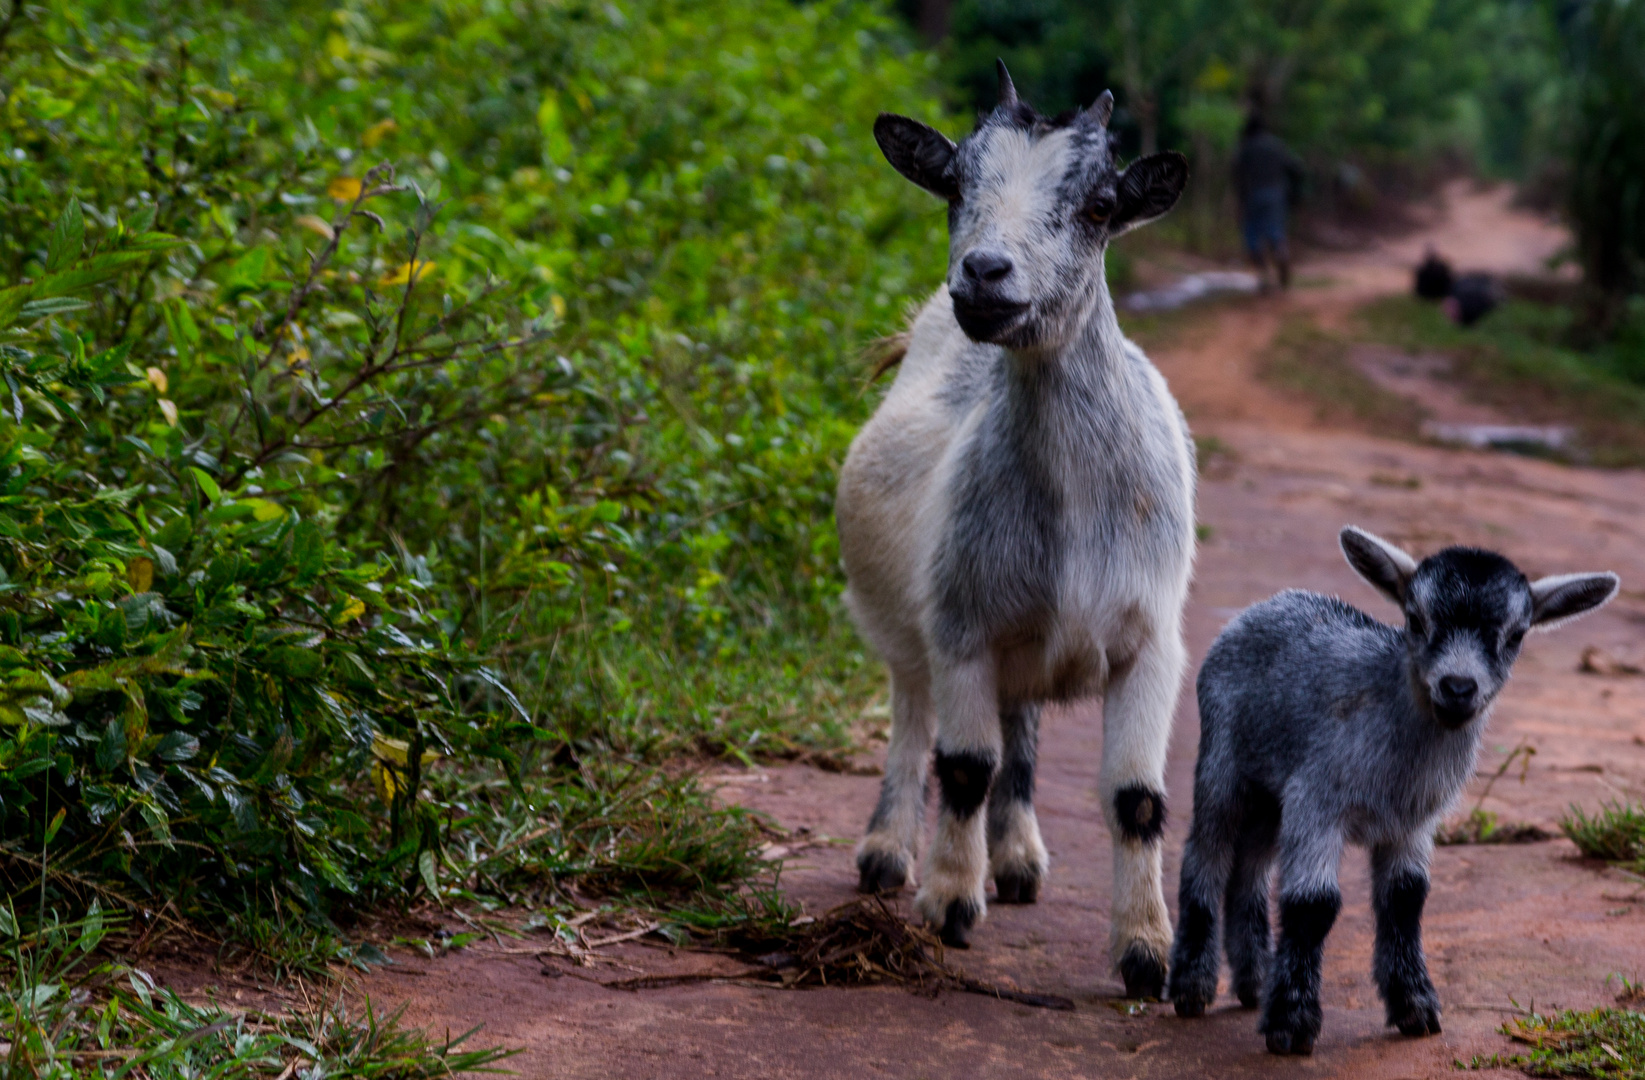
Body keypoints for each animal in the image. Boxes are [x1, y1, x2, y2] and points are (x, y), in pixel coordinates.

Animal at [1171, 526, 1618, 1058]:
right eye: (1416, 619)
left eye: (1514, 635)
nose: (1458, 688)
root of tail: (1265, 605)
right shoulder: (1317, 799)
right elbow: (1312, 905)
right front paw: (1291, 1024)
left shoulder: (1413, 822)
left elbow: (1406, 899)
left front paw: (1415, 1007)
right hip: (1224, 764)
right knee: (1207, 855)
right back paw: (1192, 985)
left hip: (1270, 795)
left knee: (1250, 868)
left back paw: (1253, 982)